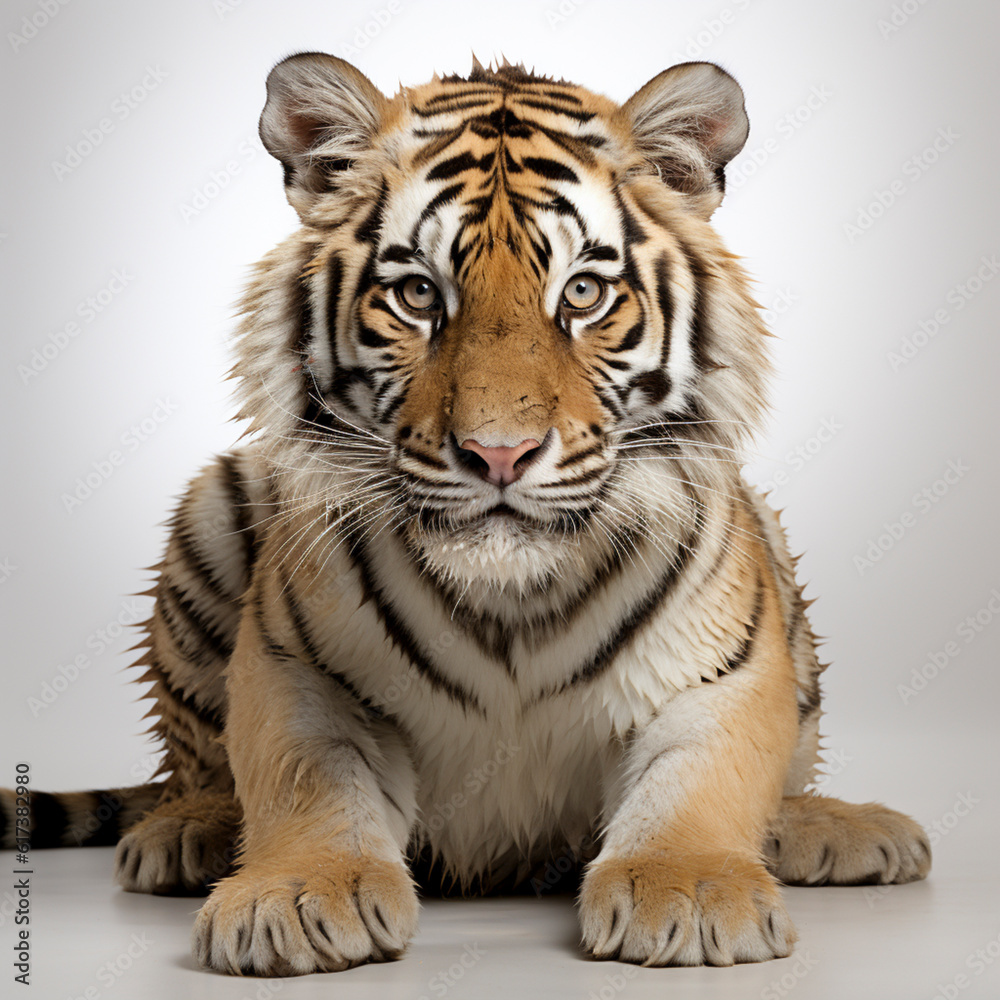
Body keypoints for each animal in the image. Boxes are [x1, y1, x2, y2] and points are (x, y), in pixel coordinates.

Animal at [1, 52, 931, 975]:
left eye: (583, 294)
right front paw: (295, 897)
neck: (510, 596)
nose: (498, 454)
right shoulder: (295, 671)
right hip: (215, 505)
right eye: (418, 295)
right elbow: (305, 778)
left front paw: (690, 889)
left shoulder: (720, 674)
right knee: (195, 763)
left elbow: (705, 778)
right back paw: (189, 832)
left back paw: (844, 831)